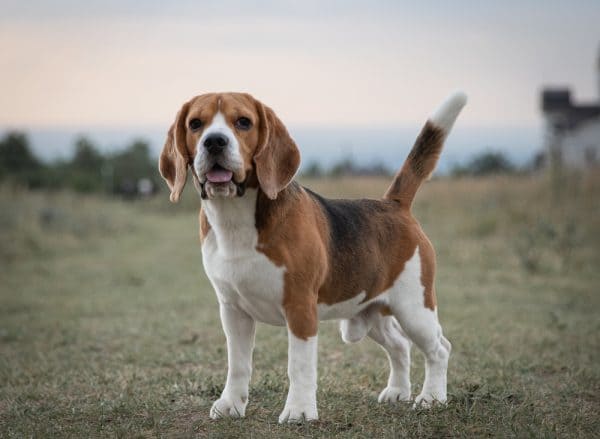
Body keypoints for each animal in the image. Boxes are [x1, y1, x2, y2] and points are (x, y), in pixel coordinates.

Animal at [161, 92, 468, 422]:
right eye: (195, 124)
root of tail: (394, 204)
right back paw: (398, 391)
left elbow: (299, 366)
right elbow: (238, 364)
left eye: (243, 122)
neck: (235, 218)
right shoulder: (232, 310)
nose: (214, 142)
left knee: (439, 348)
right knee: (400, 345)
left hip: (414, 309)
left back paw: (432, 398)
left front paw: (298, 411)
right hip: (370, 312)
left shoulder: (300, 308)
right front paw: (231, 404)